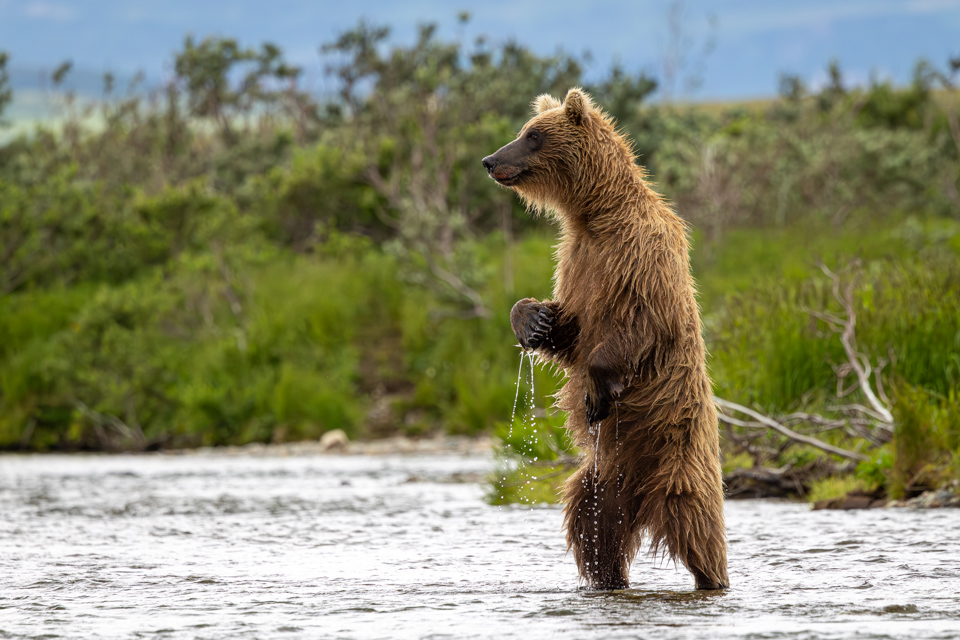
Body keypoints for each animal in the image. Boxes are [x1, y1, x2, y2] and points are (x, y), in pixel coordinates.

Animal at [481, 88, 728, 591]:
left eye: (532, 136)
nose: (490, 160)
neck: (596, 215)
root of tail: (643, 500)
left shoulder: (640, 255)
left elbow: (638, 325)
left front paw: (598, 393)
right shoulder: (578, 260)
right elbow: (569, 328)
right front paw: (532, 320)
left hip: (679, 453)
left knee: (696, 522)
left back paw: (712, 578)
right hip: (602, 481)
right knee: (591, 527)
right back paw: (609, 578)